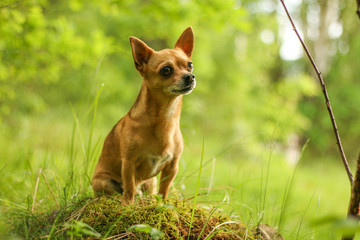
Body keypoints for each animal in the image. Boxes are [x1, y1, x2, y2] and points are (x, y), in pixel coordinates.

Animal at [91, 26, 195, 202]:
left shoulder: (172, 167)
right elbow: (129, 189)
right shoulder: (128, 163)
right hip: (104, 181)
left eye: (190, 65)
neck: (165, 116)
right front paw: (127, 205)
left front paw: (162, 204)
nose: (190, 76)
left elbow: (164, 190)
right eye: (166, 70)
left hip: (150, 182)